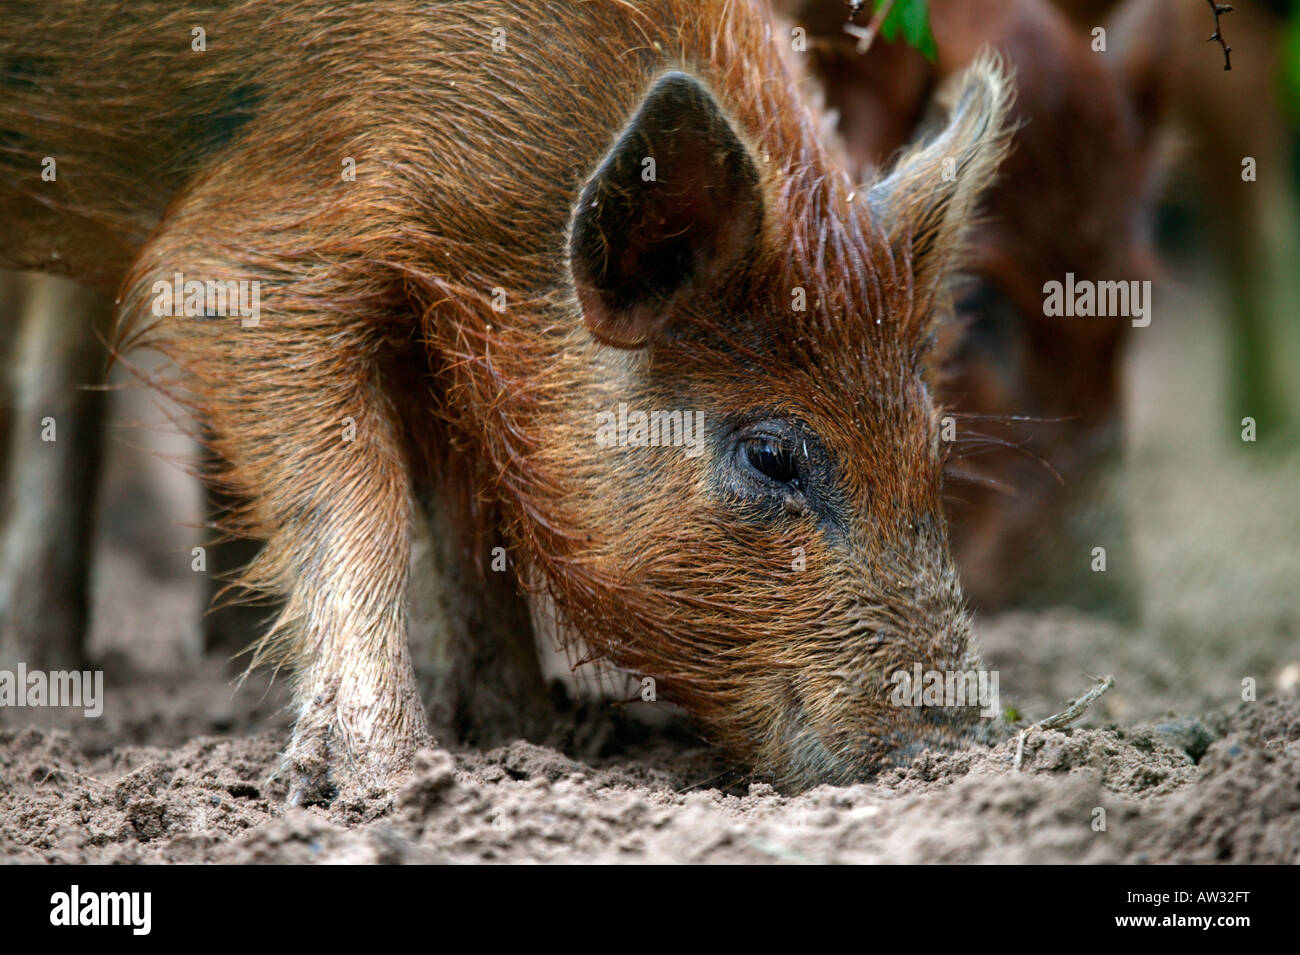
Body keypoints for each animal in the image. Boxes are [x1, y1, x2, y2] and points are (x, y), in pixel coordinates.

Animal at [0, 0, 1012, 799]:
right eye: (772, 454)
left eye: (931, 447)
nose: (969, 750)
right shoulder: (242, 258)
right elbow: (362, 495)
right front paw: (389, 777)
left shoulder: (435, 314)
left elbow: (464, 514)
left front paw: (531, 733)